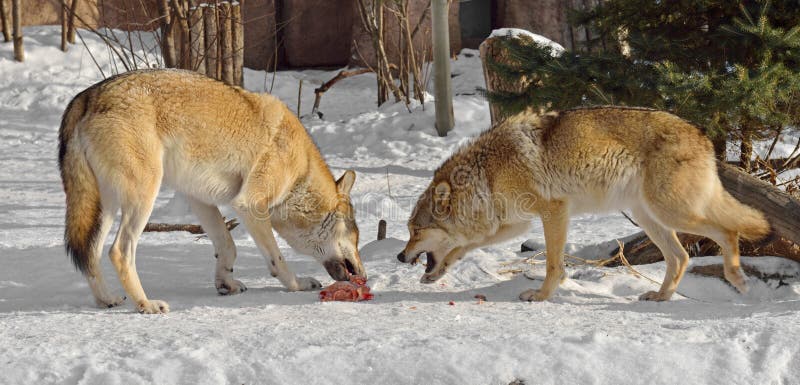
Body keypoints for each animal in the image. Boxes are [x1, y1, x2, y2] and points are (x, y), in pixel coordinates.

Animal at [59, 69, 366, 314]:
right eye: (356, 237)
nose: (363, 275)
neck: (300, 173)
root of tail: (86, 96)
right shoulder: (249, 205)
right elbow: (277, 259)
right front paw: (297, 284)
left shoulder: (200, 199)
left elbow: (227, 246)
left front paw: (225, 283)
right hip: (143, 198)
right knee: (119, 252)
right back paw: (146, 305)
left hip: (106, 208)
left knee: (90, 254)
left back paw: (107, 299)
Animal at [396, 106, 772, 302]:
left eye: (415, 230)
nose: (399, 256)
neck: (486, 173)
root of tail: (704, 137)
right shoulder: (513, 223)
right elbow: (461, 248)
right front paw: (435, 275)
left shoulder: (554, 212)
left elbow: (552, 264)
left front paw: (541, 296)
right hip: (650, 217)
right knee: (680, 257)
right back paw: (661, 297)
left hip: (674, 213)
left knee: (728, 231)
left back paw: (736, 278)